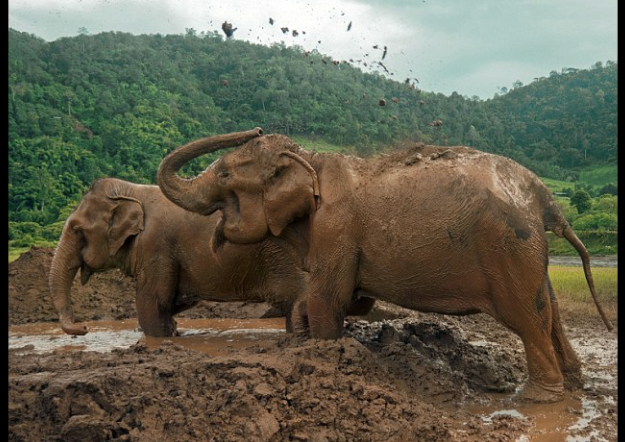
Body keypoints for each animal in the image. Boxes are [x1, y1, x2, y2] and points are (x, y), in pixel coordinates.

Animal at [48, 178, 376, 336]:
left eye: (77, 230)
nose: (83, 328)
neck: (132, 191)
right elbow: (171, 300)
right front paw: (174, 330)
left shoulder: (156, 247)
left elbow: (152, 302)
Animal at [156, 126, 608, 402]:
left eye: (225, 174)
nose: (256, 129)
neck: (312, 160)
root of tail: (543, 196)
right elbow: (333, 299)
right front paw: (299, 338)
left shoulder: (336, 228)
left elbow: (329, 298)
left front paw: (323, 351)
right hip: (527, 252)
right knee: (550, 313)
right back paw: (574, 383)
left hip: (508, 246)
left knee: (528, 320)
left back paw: (537, 399)